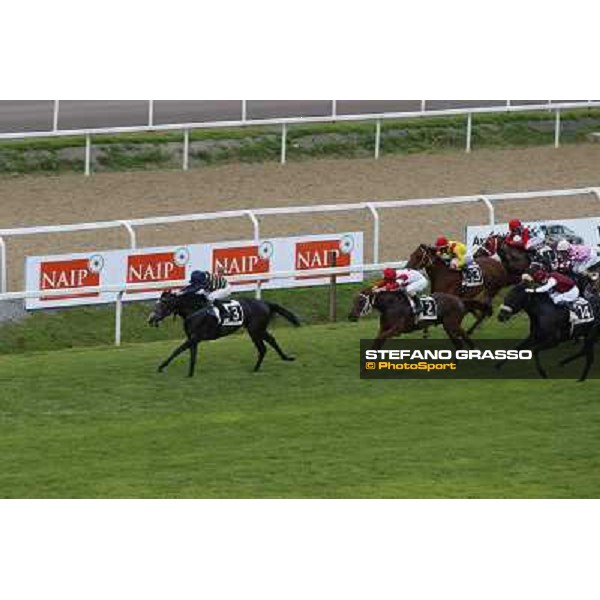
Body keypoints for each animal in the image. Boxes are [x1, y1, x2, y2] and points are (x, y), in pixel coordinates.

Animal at [350, 288, 486, 350]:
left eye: (361, 301)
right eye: (354, 301)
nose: (351, 316)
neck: (390, 305)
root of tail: (460, 300)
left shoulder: (396, 329)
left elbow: (380, 338)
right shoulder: (384, 327)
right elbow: (377, 341)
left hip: (451, 324)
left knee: (463, 337)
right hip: (449, 326)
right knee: (460, 341)